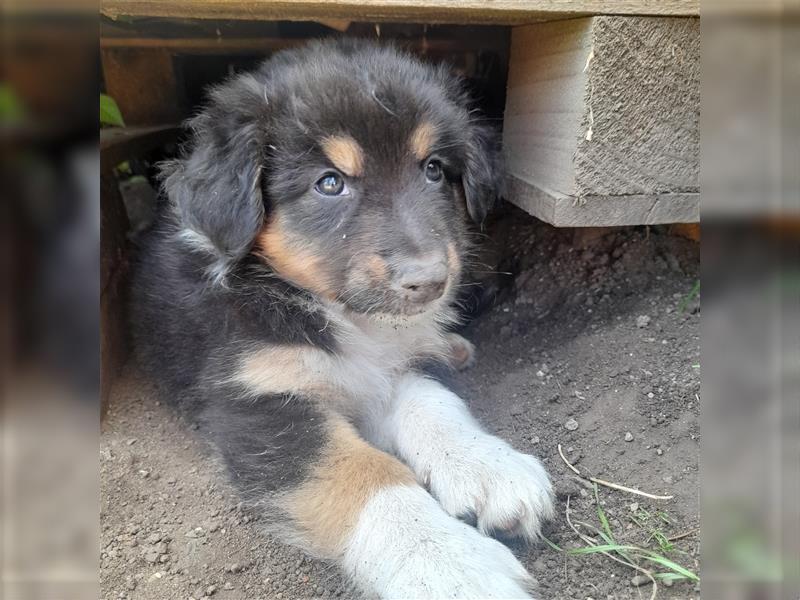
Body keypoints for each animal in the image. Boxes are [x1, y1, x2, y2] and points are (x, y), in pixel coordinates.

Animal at [133, 38, 556, 600]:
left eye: (434, 170)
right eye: (329, 183)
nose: (430, 281)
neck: (346, 318)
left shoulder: (392, 367)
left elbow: (432, 402)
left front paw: (487, 465)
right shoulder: (256, 401)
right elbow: (360, 473)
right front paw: (450, 562)